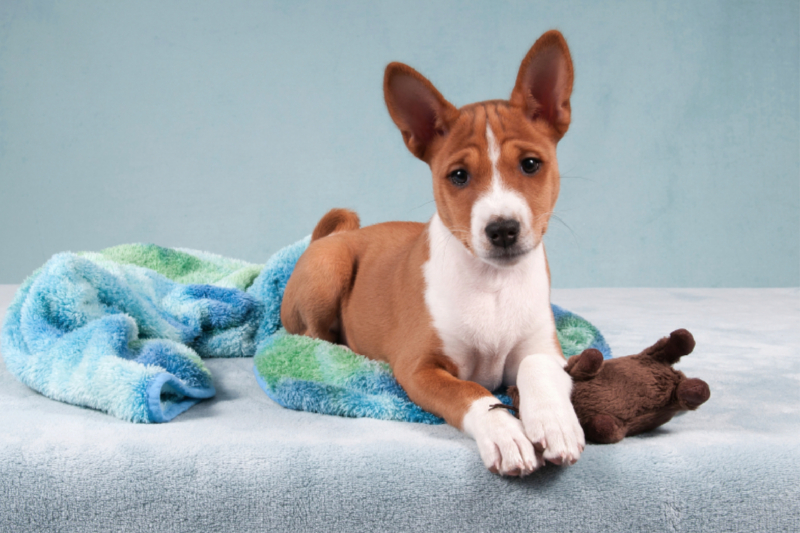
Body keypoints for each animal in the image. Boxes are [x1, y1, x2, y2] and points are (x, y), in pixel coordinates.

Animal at [282, 29, 580, 474]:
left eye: (530, 164)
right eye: (458, 176)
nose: (502, 229)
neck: (492, 284)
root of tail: (336, 236)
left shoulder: (546, 349)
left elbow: (535, 367)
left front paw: (554, 422)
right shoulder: (419, 367)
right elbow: (471, 393)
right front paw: (505, 434)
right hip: (328, 270)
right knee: (313, 337)